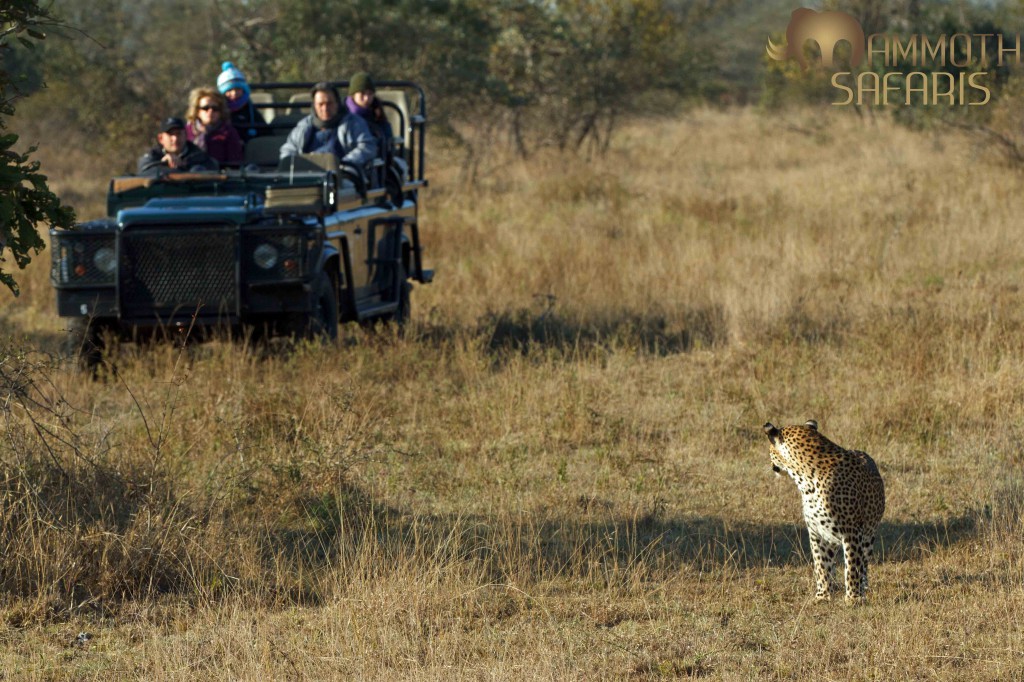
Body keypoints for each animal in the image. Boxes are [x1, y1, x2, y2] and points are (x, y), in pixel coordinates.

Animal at [763, 420, 885, 604]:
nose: (771, 465)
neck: (806, 482)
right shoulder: (816, 532)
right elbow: (821, 564)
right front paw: (822, 595)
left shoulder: (851, 532)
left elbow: (852, 565)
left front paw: (853, 598)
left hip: (868, 537)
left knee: (863, 562)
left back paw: (862, 588)